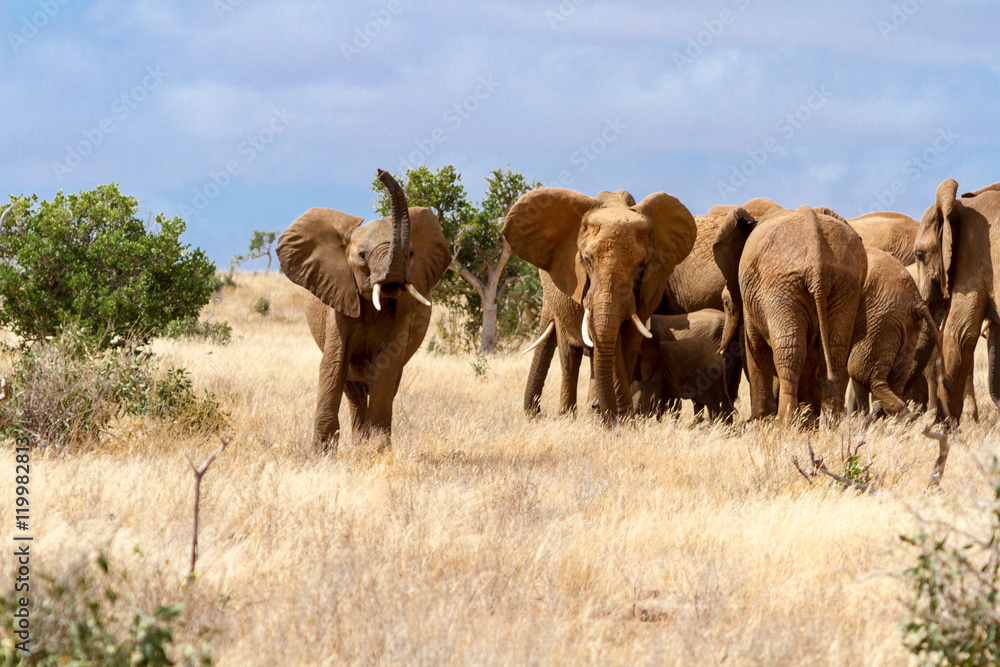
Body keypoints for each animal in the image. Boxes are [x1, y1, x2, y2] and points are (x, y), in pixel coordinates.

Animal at [276, 170, 451, 452]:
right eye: (362, 255)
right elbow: (334, 363)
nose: (381, 172)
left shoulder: (402, 315)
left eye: (411, 254)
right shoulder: (338, 302)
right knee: (353, 389)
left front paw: (377, 451)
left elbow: (386, 367)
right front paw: (323, 454)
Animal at [504, 187, 697, 422]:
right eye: (586, 260)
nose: (538, 414)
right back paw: (569, 416)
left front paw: (622, 421)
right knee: (569, 355)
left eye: (642, 265)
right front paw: (611, 418)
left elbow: (627, 343)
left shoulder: (648, 290)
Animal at [713, 205, 868, 421]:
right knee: (834, 353)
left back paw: (784, 423)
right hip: (844, 285)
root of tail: (818, 267)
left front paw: (761, 421)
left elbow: (755, 346)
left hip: (781, 286)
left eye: (725, 302)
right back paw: (829, 424)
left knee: (789, 352)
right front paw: (806, 420)